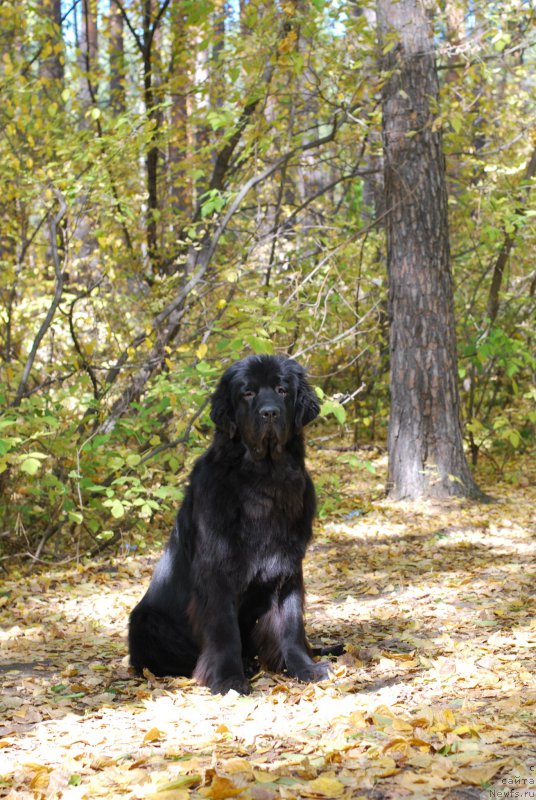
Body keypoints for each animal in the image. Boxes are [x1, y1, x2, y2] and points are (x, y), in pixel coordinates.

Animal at [130, 354, 330, 692]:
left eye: (282, 390)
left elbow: (290, 624)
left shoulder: (288, 567)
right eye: (247, 393)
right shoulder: (217, 570)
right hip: (145, 621)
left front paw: (304, 668)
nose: (270, 412)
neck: (264, 478)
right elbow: (224, 631)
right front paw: (228, 678)